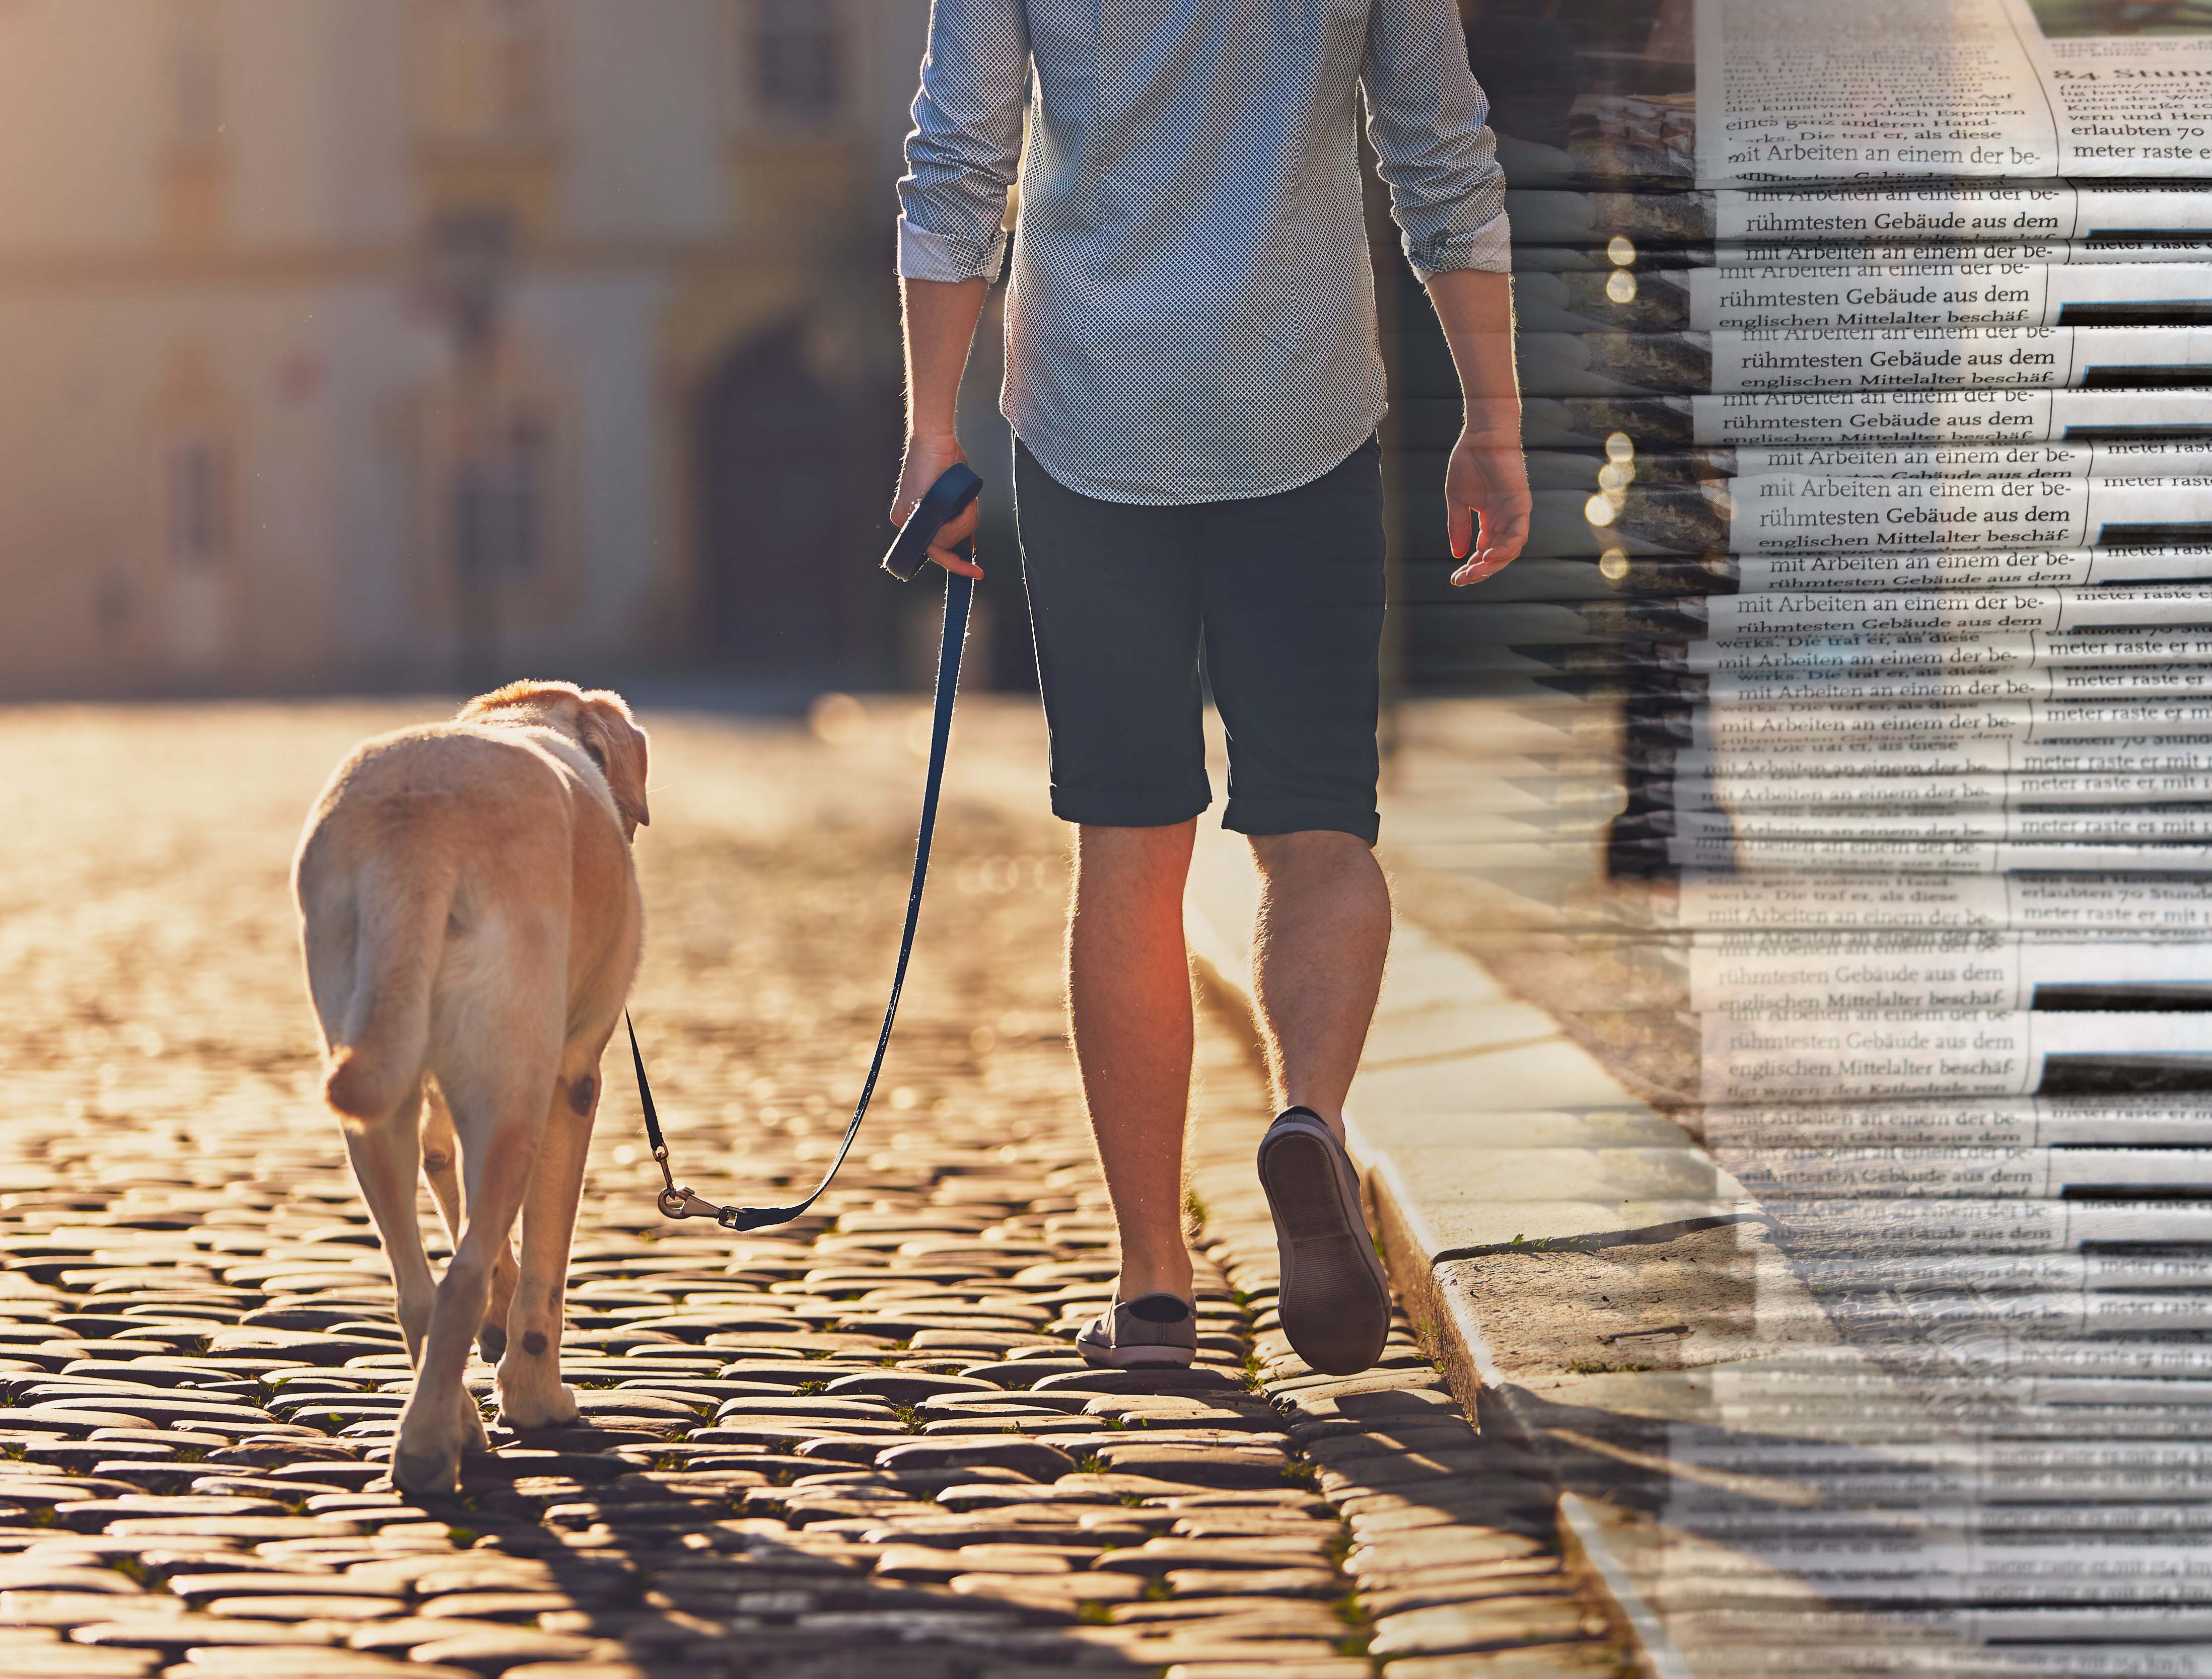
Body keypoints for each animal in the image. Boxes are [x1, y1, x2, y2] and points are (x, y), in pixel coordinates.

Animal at [292, 681, 646, 1495]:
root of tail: (421, 823)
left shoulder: (438, 1102)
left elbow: (457, 1193)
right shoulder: (573, 1079)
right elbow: (544, 1266)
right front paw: (536, 1396)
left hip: (375, 1086)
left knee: (419, 1285)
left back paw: (448, 1421)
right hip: (517, 1086)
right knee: (460, 1277)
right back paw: (435, 1446)